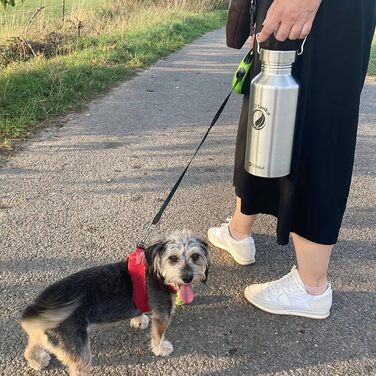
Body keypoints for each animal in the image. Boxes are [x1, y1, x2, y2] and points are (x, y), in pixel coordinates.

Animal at [20, 231, 210, 374]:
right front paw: (161, 349)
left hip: (43, 334)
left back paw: (38, 361)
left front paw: (139, 320)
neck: (157, 273)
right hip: (78, 350)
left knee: (30, 348)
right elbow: (158, 335)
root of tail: (38, 306)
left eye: (195, 256)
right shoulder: (162, 315)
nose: (187, 277)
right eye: (172, 258)